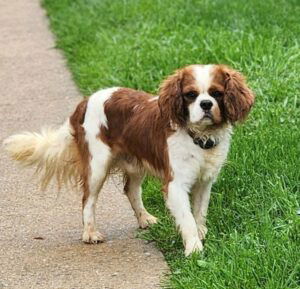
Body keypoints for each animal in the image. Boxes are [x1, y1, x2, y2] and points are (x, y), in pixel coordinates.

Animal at [3, 63, 254, 254]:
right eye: (190, 95)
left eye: (217, 93)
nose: (206, 104)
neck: (200, 138)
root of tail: (84, 102)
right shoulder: (176, 185)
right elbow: (188, 219)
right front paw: (194, 249)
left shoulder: (205, 181)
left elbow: (199, 213)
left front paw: (202, 234)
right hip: (97, 166)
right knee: (87, 199)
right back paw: (90, 233)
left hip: (135, 163)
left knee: (131, 190)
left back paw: (144, 219)